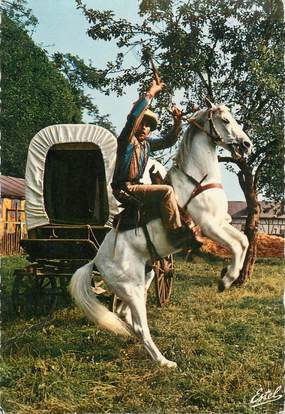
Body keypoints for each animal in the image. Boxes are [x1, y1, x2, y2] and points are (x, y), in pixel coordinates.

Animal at [70, 102, 252, 368]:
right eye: (225, 120)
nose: (246, 144)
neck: (196, 178)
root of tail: (95, 261)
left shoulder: (221, 222)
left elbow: (244, 241)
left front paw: (227, 274)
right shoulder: (210, 225)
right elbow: (237, 246)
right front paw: (226, 280)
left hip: (145, 278)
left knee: (124, 315)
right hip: (133, 290)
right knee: (140, 326)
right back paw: (164, 362)